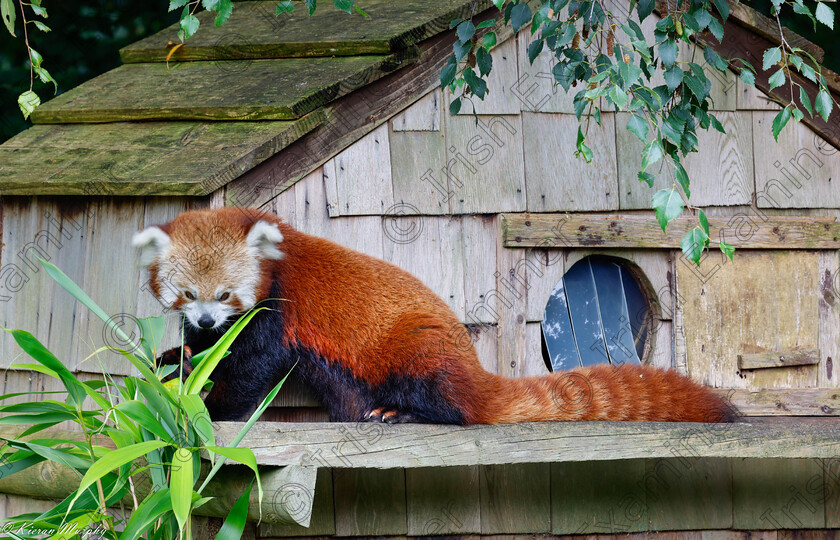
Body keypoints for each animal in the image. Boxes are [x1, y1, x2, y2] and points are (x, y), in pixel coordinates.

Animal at [131, 209, 736, 424]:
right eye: (188, 294)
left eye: (226, 294)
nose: (205, 320)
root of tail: (474, 370)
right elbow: (212, 356)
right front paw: (176, 361)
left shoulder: (276, 311)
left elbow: (251, 367)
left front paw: (212, 407)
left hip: (417, 351)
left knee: (448, 403)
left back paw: (406, 412)